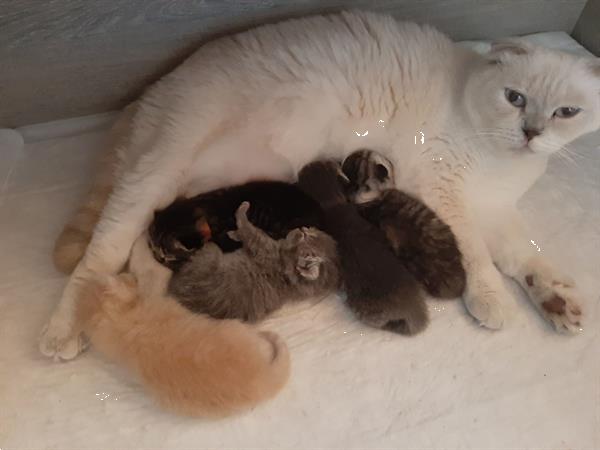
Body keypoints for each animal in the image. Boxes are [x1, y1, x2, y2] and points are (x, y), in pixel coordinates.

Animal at [166, 202, 340, 322]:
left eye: (308, 236)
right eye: (313, 232)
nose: (303, 229)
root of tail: (174, 292)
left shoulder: (261, 244)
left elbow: (248, 228)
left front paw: (242, 210)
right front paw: (234, 233)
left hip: (210, 251)